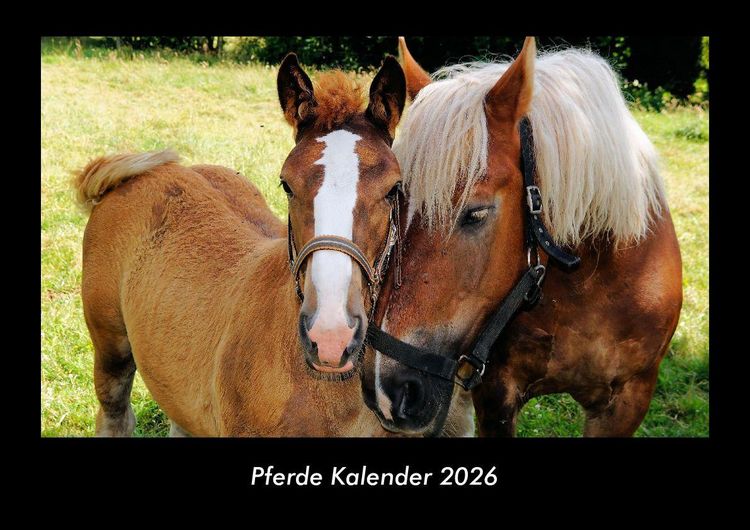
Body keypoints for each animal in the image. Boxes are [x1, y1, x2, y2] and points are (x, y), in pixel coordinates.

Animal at [362, 37, 683, 437]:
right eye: (394, 202)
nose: (384, 389)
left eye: (476, 213)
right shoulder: (496, 395)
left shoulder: (627, 401)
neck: (586, 281)